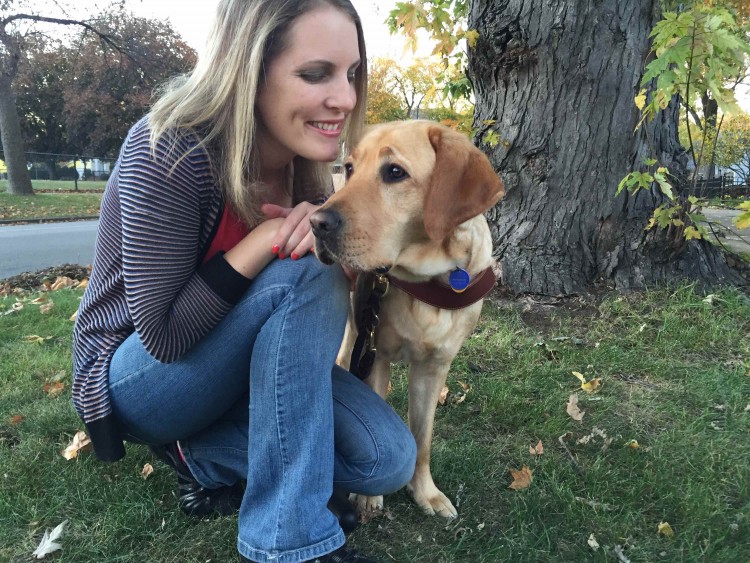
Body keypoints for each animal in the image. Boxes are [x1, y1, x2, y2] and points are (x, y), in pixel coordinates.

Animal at [308, 120, 508, 520]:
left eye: (395, 172)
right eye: (350, 168)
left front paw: (425, 492)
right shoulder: (375, 356)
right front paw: (368, 498)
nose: (316, 223)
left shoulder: (434, 368)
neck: (429, 280)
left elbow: (422, 437)